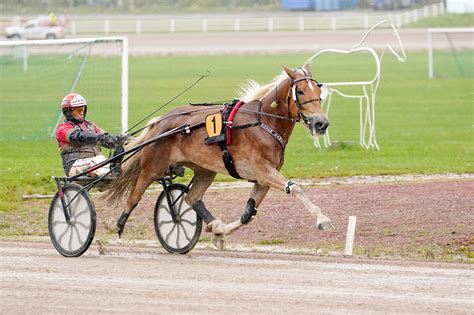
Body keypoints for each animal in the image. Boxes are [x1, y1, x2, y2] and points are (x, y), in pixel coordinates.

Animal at [109, 63, 336, 249]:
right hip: (152, 167)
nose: (321, 123)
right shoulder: (263, 171)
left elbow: (248, 214)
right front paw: (323, 219)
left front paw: (219, 231)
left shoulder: (263, 179)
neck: (264, 122)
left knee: (192, 198)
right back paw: (118, 225)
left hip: (205, 170)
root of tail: (160, 121)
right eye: (300, 91)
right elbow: (296, 188)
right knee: (134, 196)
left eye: (318, 90)